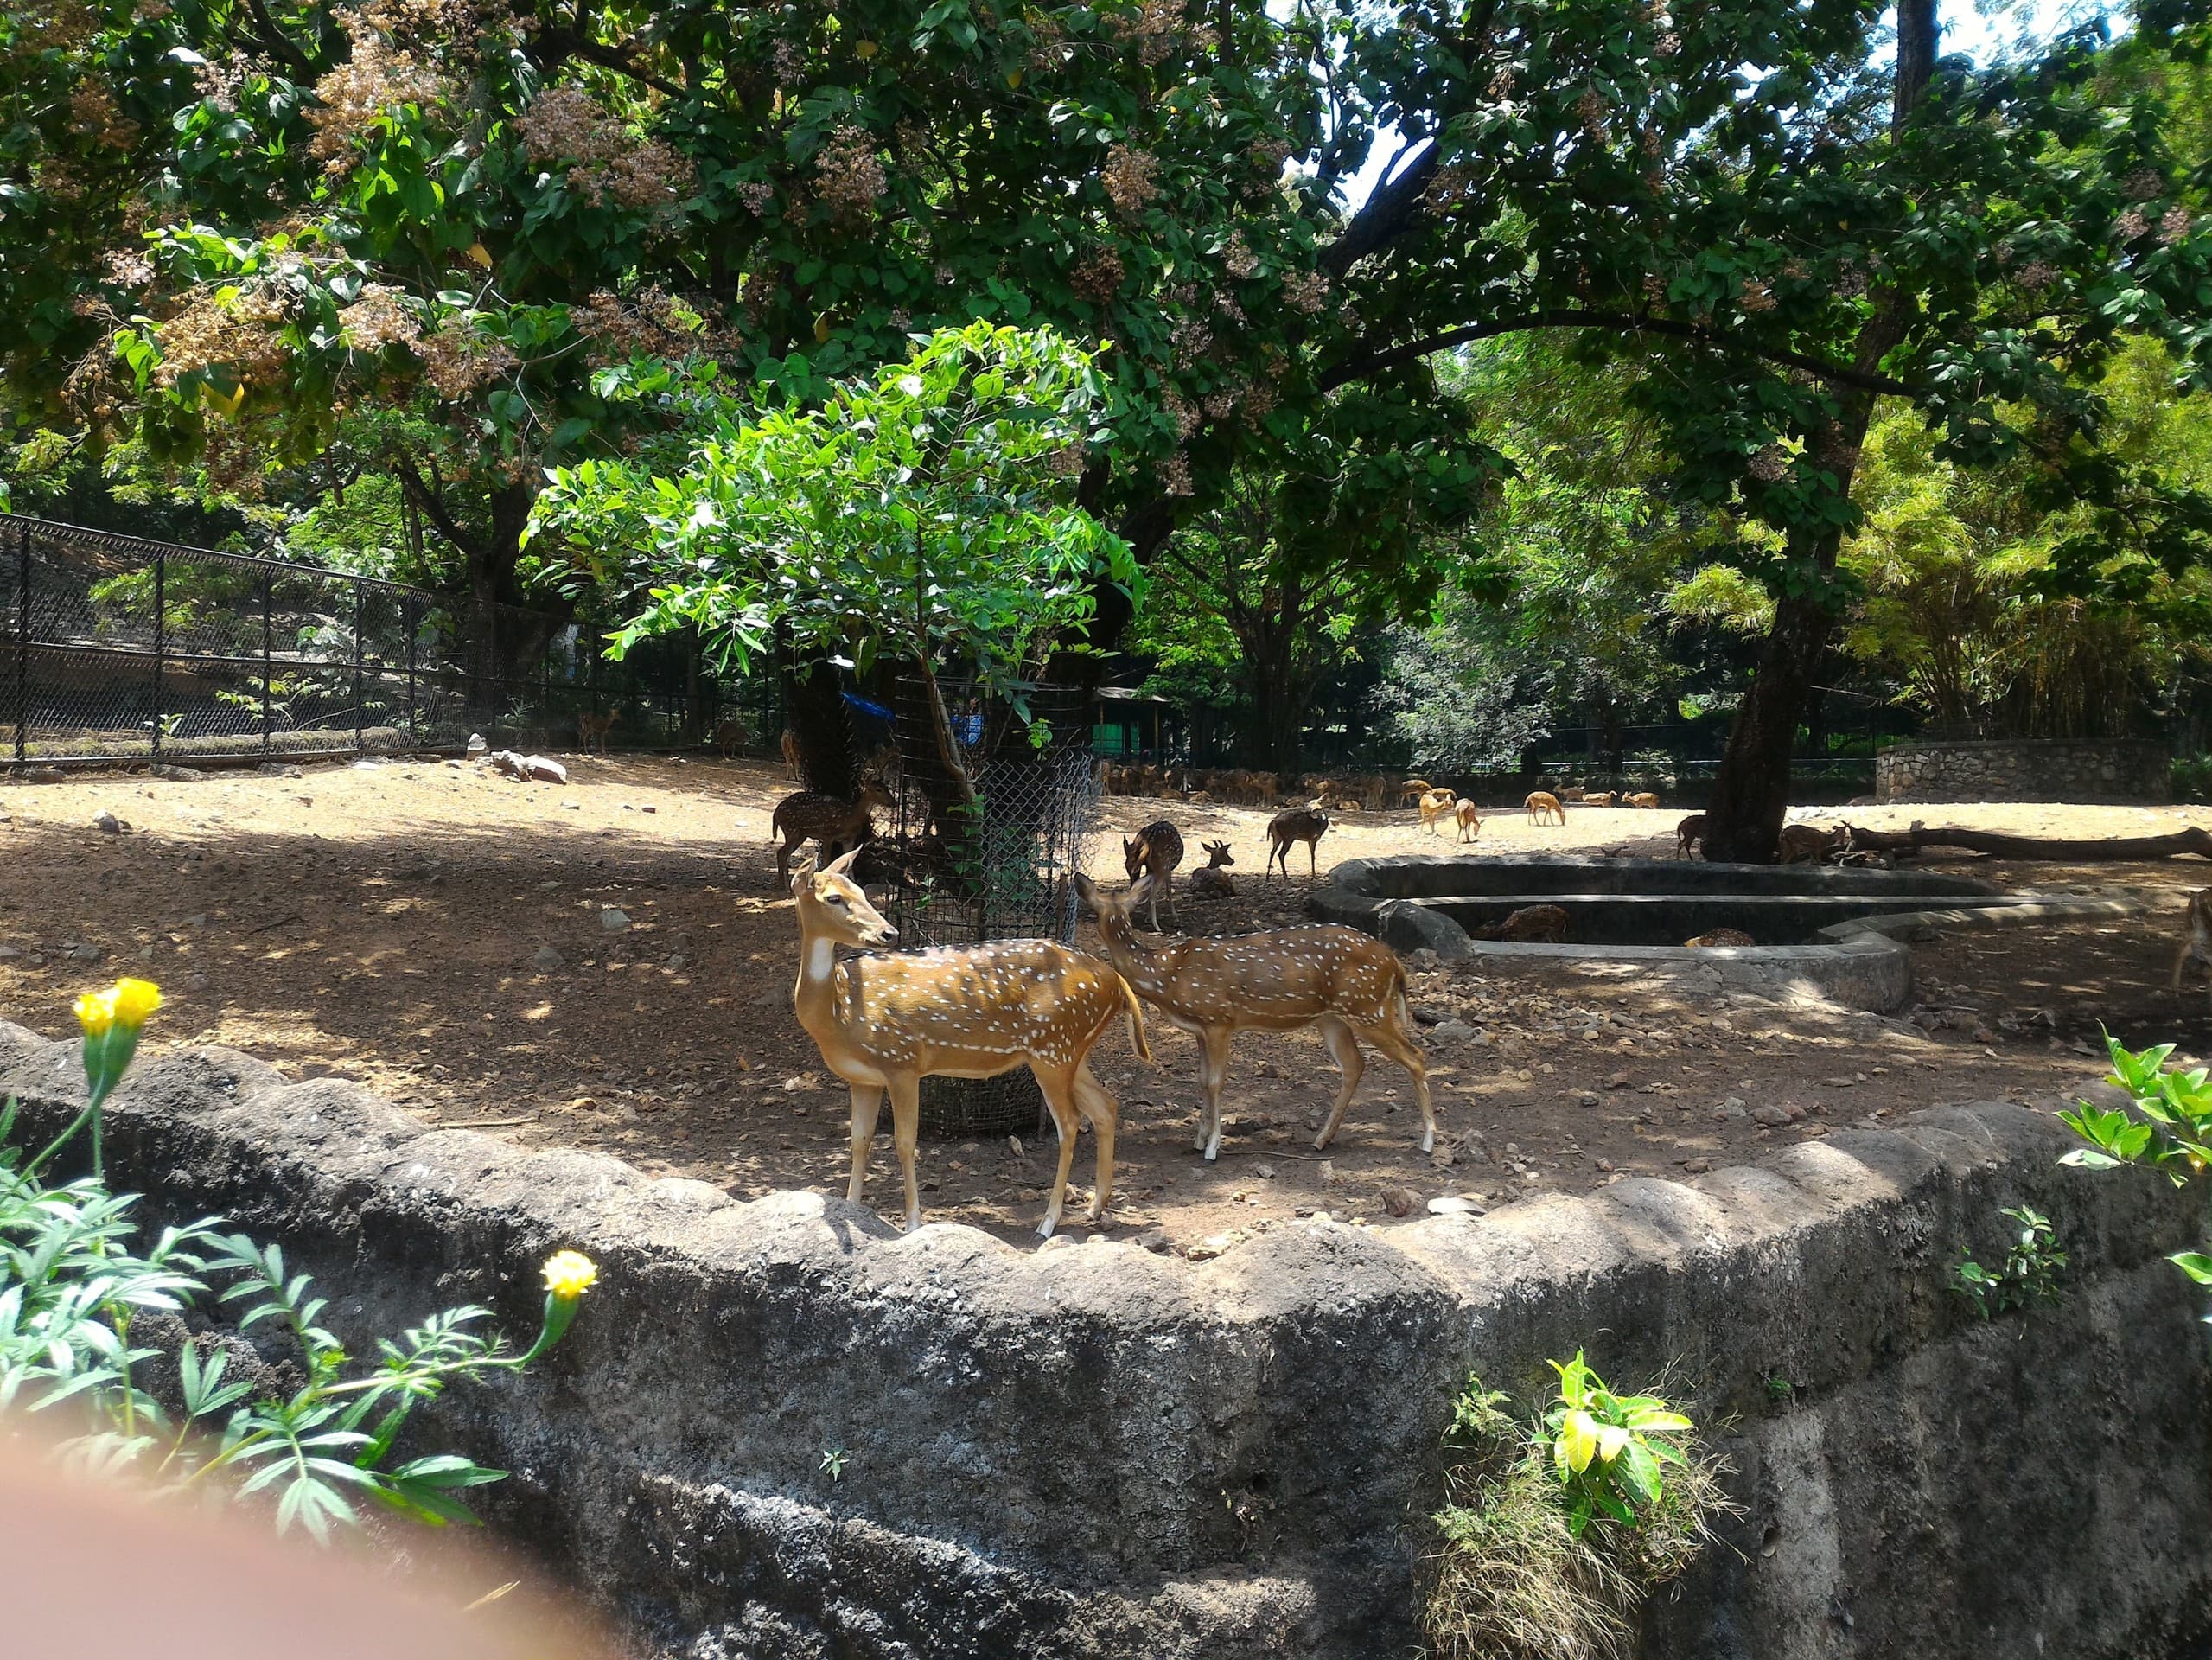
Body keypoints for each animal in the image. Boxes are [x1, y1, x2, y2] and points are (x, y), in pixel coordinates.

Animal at [772, 777, 895, 886]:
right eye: (878, 789)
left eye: (887, 787)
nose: (894, 802)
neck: (851, 816)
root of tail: (776, 813)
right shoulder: (827, 834)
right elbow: (827, 862)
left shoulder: (849, 839)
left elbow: (849, 863)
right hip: (791, 830)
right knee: (785, 855)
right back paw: (787, 887)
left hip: (800, 835)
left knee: (780, 852)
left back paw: (782, 884)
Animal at [788, 849, 1149, 1237]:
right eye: (834, 897)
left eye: (861, 892)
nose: (889, 932)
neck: (839, 1013)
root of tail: (1116, 981)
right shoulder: (863, 1078)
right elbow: (859, 1140)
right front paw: (853, 1207)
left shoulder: (903, 1060)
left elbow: (904, 1142)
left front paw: (913, 1223)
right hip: (1071, 1050)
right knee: (1105, 1107)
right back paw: (1095, 1207)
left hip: (1054, 1048)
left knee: (1070, 1123)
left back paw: (1048, 1222)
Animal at [1076, 873, 1435, 1162]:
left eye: (1092, 909)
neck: (1167, 976)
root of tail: (1394, 962)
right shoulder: (1199, 1029)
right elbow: (1202, 1080)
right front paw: (1198, 1139)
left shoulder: (1219, 1019)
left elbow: (1216, 1082)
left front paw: (1212, 1148)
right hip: (1334, 1017)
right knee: (1354, 1064)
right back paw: (1321, 1140)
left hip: (1368, 1007)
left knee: (1415, 1056)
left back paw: (1428, 1141)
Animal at [1123, 820, 1185, 930]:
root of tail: (1147, 841)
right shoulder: (1168, 869)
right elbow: (1169, 891)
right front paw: (1175, 918)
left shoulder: (1149, 868)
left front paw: (1146, 918)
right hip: (1163, 865)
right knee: (1152, 895)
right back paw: (1157, 926)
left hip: (1144, 867)